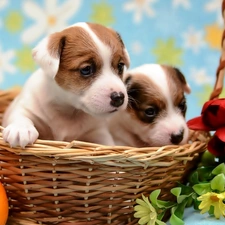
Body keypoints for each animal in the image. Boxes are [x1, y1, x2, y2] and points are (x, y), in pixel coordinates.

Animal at [2, 21, 130, 148]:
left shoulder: (98, 132)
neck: (68, 110)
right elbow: (21, 115)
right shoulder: (25, 108)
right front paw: (21, 129)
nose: (119, 98)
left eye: (120, 66)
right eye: (86, 69)